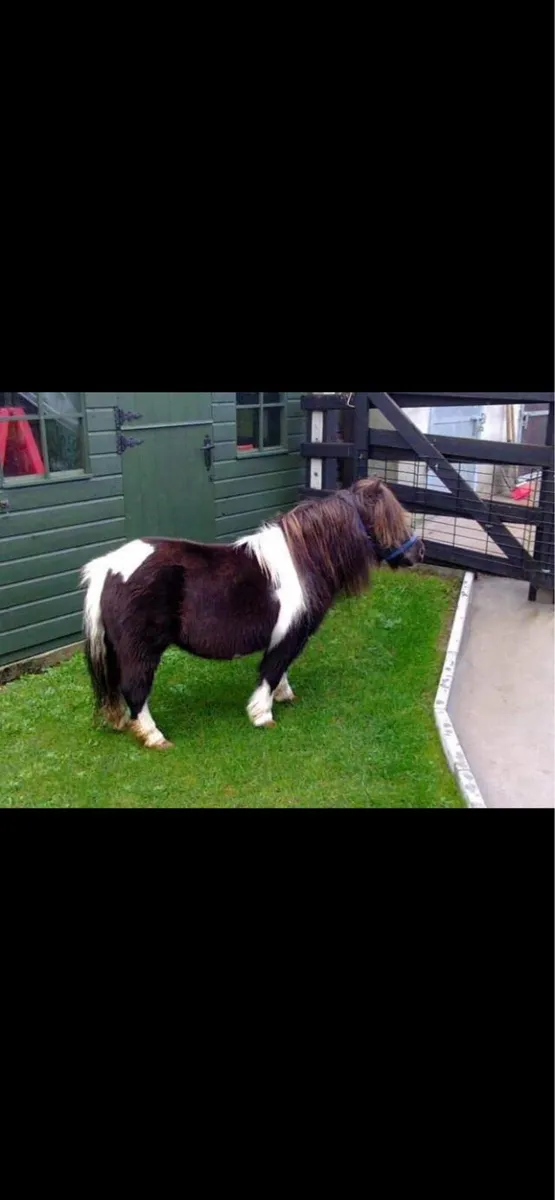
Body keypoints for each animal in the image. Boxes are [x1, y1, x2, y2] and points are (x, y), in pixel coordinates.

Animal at [81, 478, 425, 749]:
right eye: (388, 520)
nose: (418, 552)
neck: (304, 561)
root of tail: (107, 568)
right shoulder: (289, 635)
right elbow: (271, 671)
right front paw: (262, 715)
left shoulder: (286, 636)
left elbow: (282, 669)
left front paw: (285, 696)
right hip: (141, 650)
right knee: (135, 689)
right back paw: (154, 737)